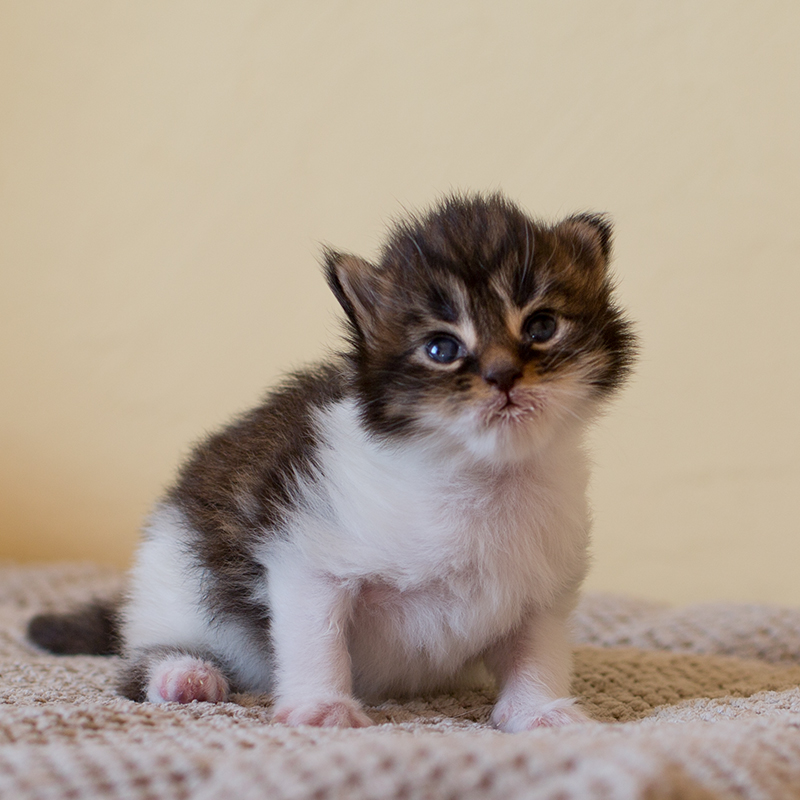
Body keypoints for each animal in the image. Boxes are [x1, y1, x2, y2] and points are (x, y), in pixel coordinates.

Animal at [28, 192, 635, 731]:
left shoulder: (542, 591)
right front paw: (322, 708)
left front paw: (539, 712)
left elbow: (538, 652)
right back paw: (181, 674)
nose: (503, 374)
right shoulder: (310, 551)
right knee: (141, 660)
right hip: (174, 586)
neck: (478, 475)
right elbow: (316, 638)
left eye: (541, 327)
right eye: (441, 348)